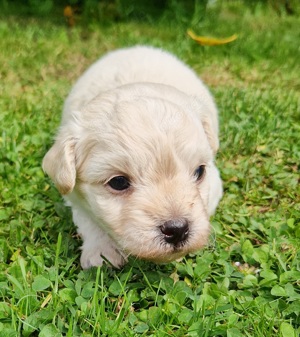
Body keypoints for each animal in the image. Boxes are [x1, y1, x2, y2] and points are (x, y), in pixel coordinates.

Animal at [44, 45, 223, 268]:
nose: (177, 229)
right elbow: (89, 221)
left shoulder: (215, 185)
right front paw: (100, 253)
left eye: (199, 171)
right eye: (118, 182)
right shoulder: (74, 196)